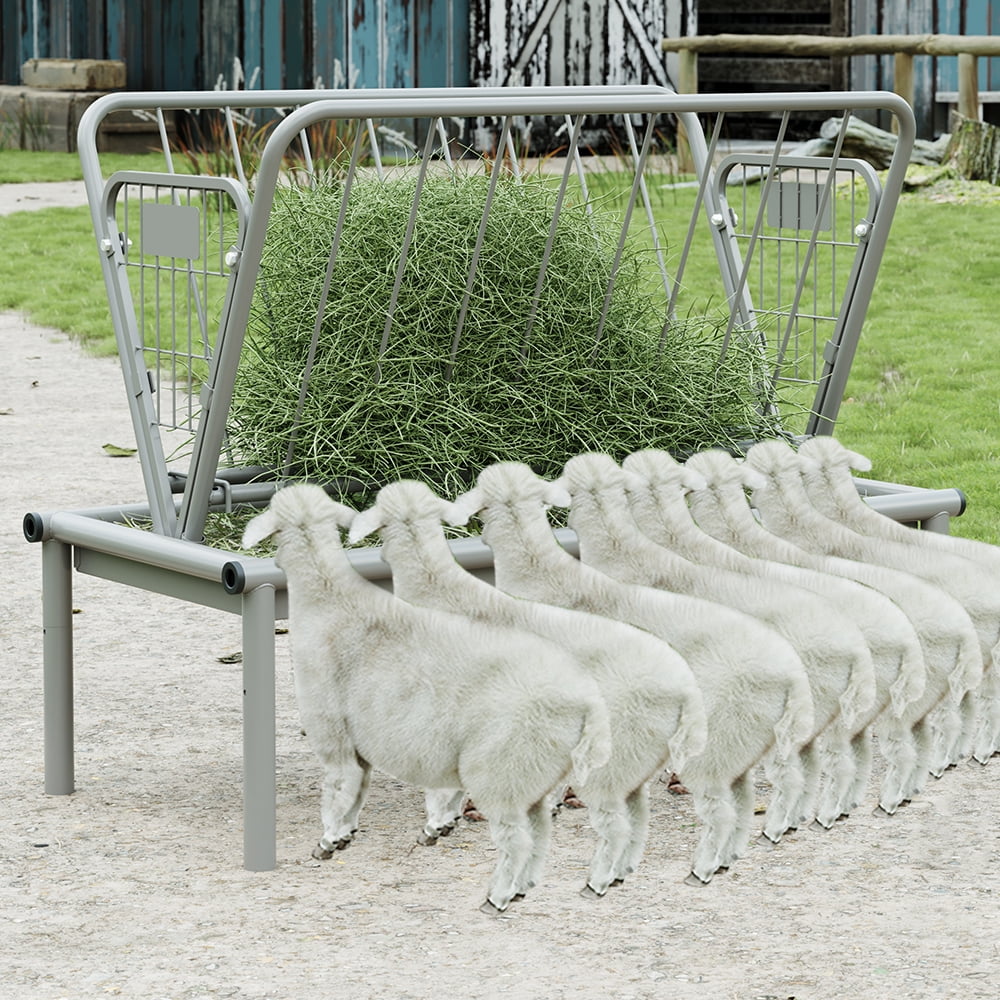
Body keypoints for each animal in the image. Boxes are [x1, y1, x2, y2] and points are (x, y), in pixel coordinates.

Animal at [241, 483, 613, 914]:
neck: (328, 596)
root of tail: (584, 700)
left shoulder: (332, 729)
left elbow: (340, 786)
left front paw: (329, 841)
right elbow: (359, 789)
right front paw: (349, 833)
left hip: (501, 759)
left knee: (519, 835)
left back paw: (498, 896)